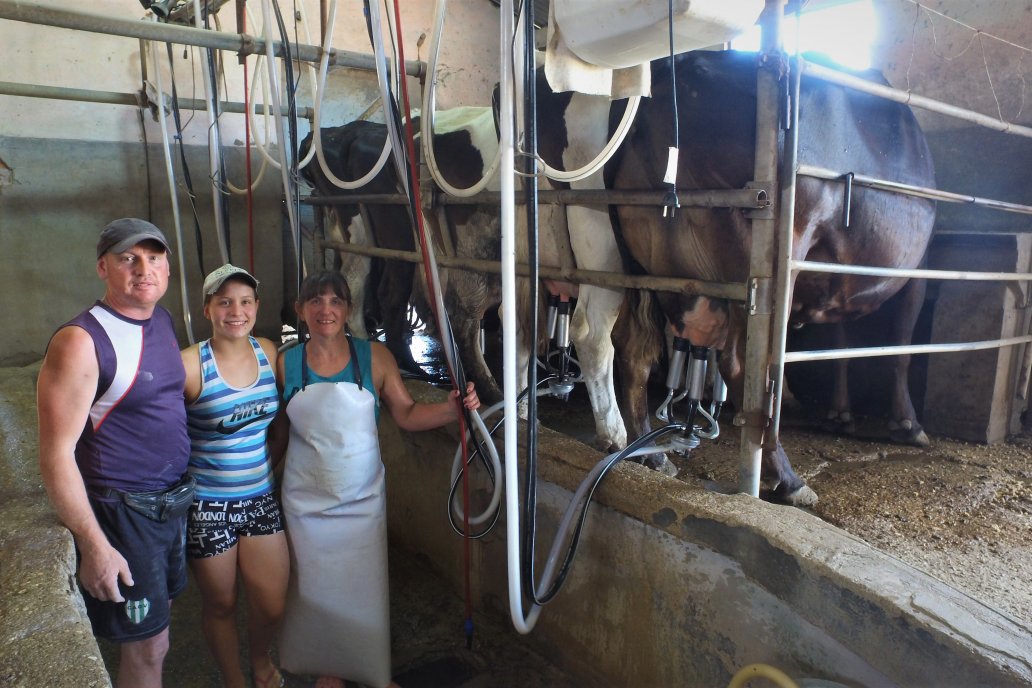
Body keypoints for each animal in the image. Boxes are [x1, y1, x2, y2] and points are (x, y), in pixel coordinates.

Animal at [602, 51, 937, 505]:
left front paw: (841, 413)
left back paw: (653, 457)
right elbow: (902, 347)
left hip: (642, 263)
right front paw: (908, 423)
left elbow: (840, 346)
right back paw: (789, 480)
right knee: (745, 366)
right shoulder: (918, 268)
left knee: (633, 347)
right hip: (770, 247)